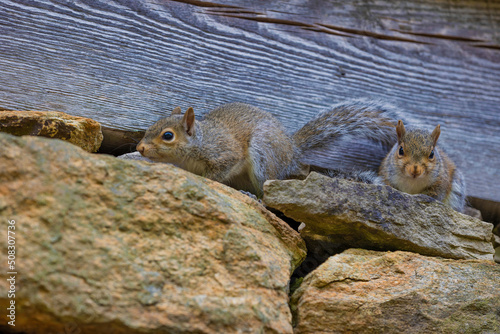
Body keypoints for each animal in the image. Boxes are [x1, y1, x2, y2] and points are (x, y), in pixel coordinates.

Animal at [139, 100, 404, 197]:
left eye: (168, 136)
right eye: (150, 127)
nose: (140, 148)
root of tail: (292, 152)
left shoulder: (224, 152)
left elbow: (220, 169)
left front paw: (206, 179)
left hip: (263, 155)